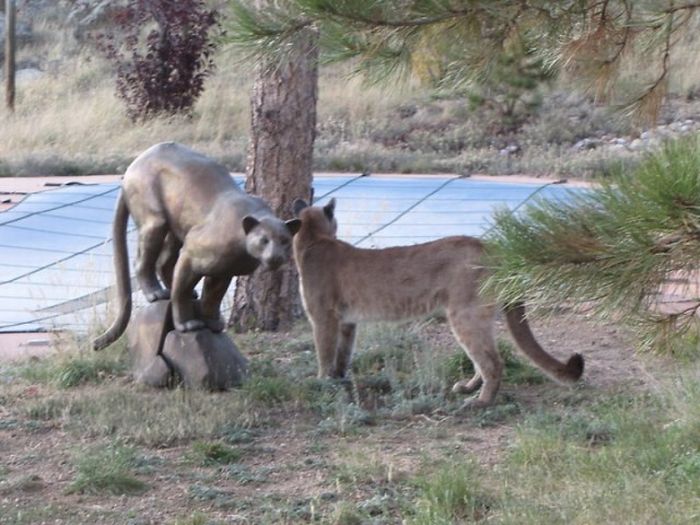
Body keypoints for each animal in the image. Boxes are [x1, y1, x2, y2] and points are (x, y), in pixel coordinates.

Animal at [292, 199, 584, 408]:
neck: (314, 239)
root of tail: (491, 247)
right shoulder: (347, 321)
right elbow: (343, 353)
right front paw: (339, 379)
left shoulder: (323, 317)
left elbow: (324, 352)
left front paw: (321, 383)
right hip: (475, 316)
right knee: (483, 357)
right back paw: (468, 387)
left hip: (464, 314)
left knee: (492, 361)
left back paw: (480, 401)